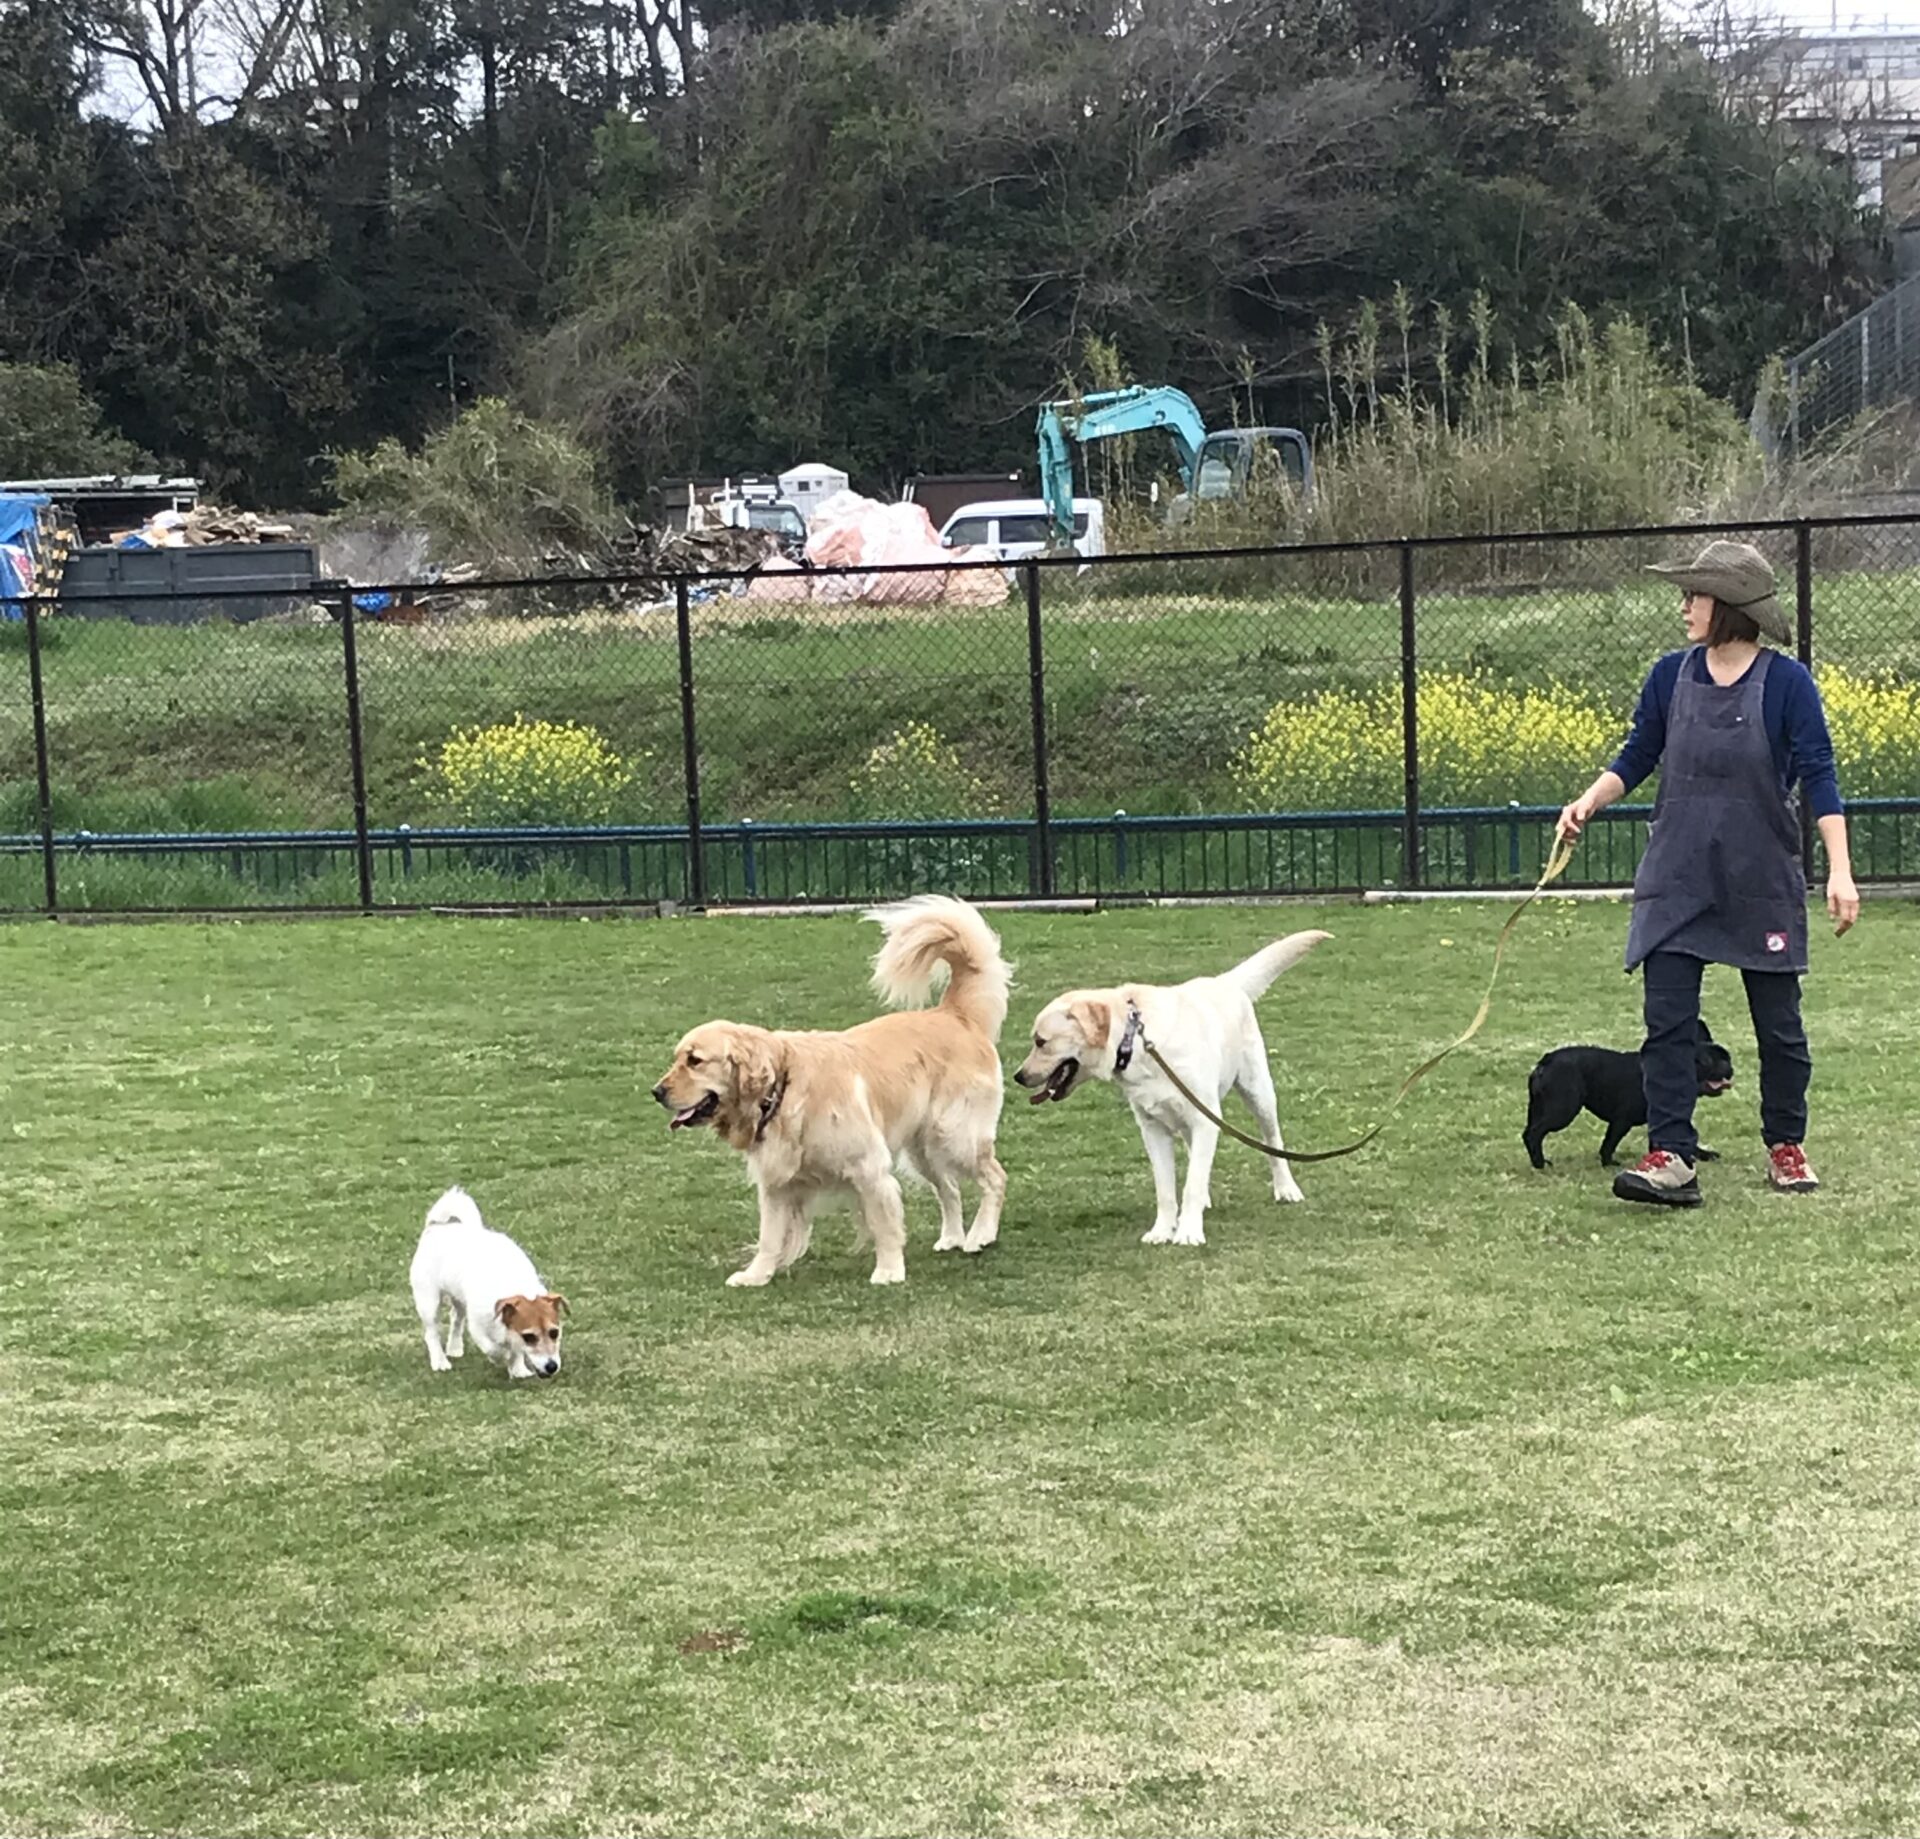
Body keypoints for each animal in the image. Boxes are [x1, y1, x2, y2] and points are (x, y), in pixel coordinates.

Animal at [409, 1186, 568, 1378]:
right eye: (529, 1337)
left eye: (554, 1333)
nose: (552, 1366)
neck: (512, 1282)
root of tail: (437, 1226)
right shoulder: (477, 1327)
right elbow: (494, 1349)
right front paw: (502, 1357)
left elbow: (515, 1350)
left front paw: (518, 1369)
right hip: (428, 1301)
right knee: (431, 1332)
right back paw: (440, 1361)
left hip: (459, 1298)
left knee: (456, 1319)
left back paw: (454, 1348)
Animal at [653, 895, 1011, 1288]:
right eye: (677, 1058)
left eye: (695, 1061)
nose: (656, 1091)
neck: (782, 1089)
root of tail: (953, 1014)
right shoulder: (776, 1183)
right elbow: (769, 1237)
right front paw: (756, 1275)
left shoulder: (869, 1167)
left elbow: (884, 1225)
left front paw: (889, 1270)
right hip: (923, 1148)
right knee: (949, 1188)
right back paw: (951, 1237)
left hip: (953, 1133)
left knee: (994, 1177)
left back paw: (981, 1234)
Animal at [1013, 931, 1330, 1246]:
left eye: (1040, 1041)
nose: (1018, 1076)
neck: (1137, 1042)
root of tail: (1224, 981)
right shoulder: (1153, 1128)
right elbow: (1166, 1189)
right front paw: (1163, 1231)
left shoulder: (1204, 1119)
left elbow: (1191, 1184)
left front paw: (1188, 1231)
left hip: (1258, 1093)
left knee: (1272, 1142)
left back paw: (1286, 1188)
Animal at [1522, 1028, 1735, 1169]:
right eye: (1707, 1061)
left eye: (1728, 1057)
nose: (1729, 1067)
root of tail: (1545, 1062)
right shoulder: (1621, 1120)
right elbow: (1610, 1142)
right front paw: (1608, 1163)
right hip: (1563, 1110)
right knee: (1535, 1133)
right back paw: (1540, 1164)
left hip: (1539, 1107)